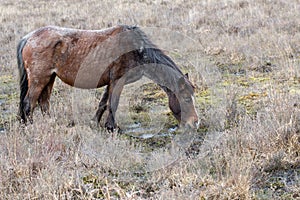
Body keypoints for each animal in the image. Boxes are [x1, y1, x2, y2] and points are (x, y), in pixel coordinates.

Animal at [17, 24, 199, 131]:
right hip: (39, 79)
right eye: (186, 98)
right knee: (28, 104)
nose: (195, 123)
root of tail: (29, 37)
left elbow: (103, 104)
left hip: (50, 78)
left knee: (43, 103)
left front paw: (95, 123)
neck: (136, 49)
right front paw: (112, 127)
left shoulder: (110, 82)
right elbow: (113, 104)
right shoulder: (118, 80)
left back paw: (50, 124)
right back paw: (29, 128)